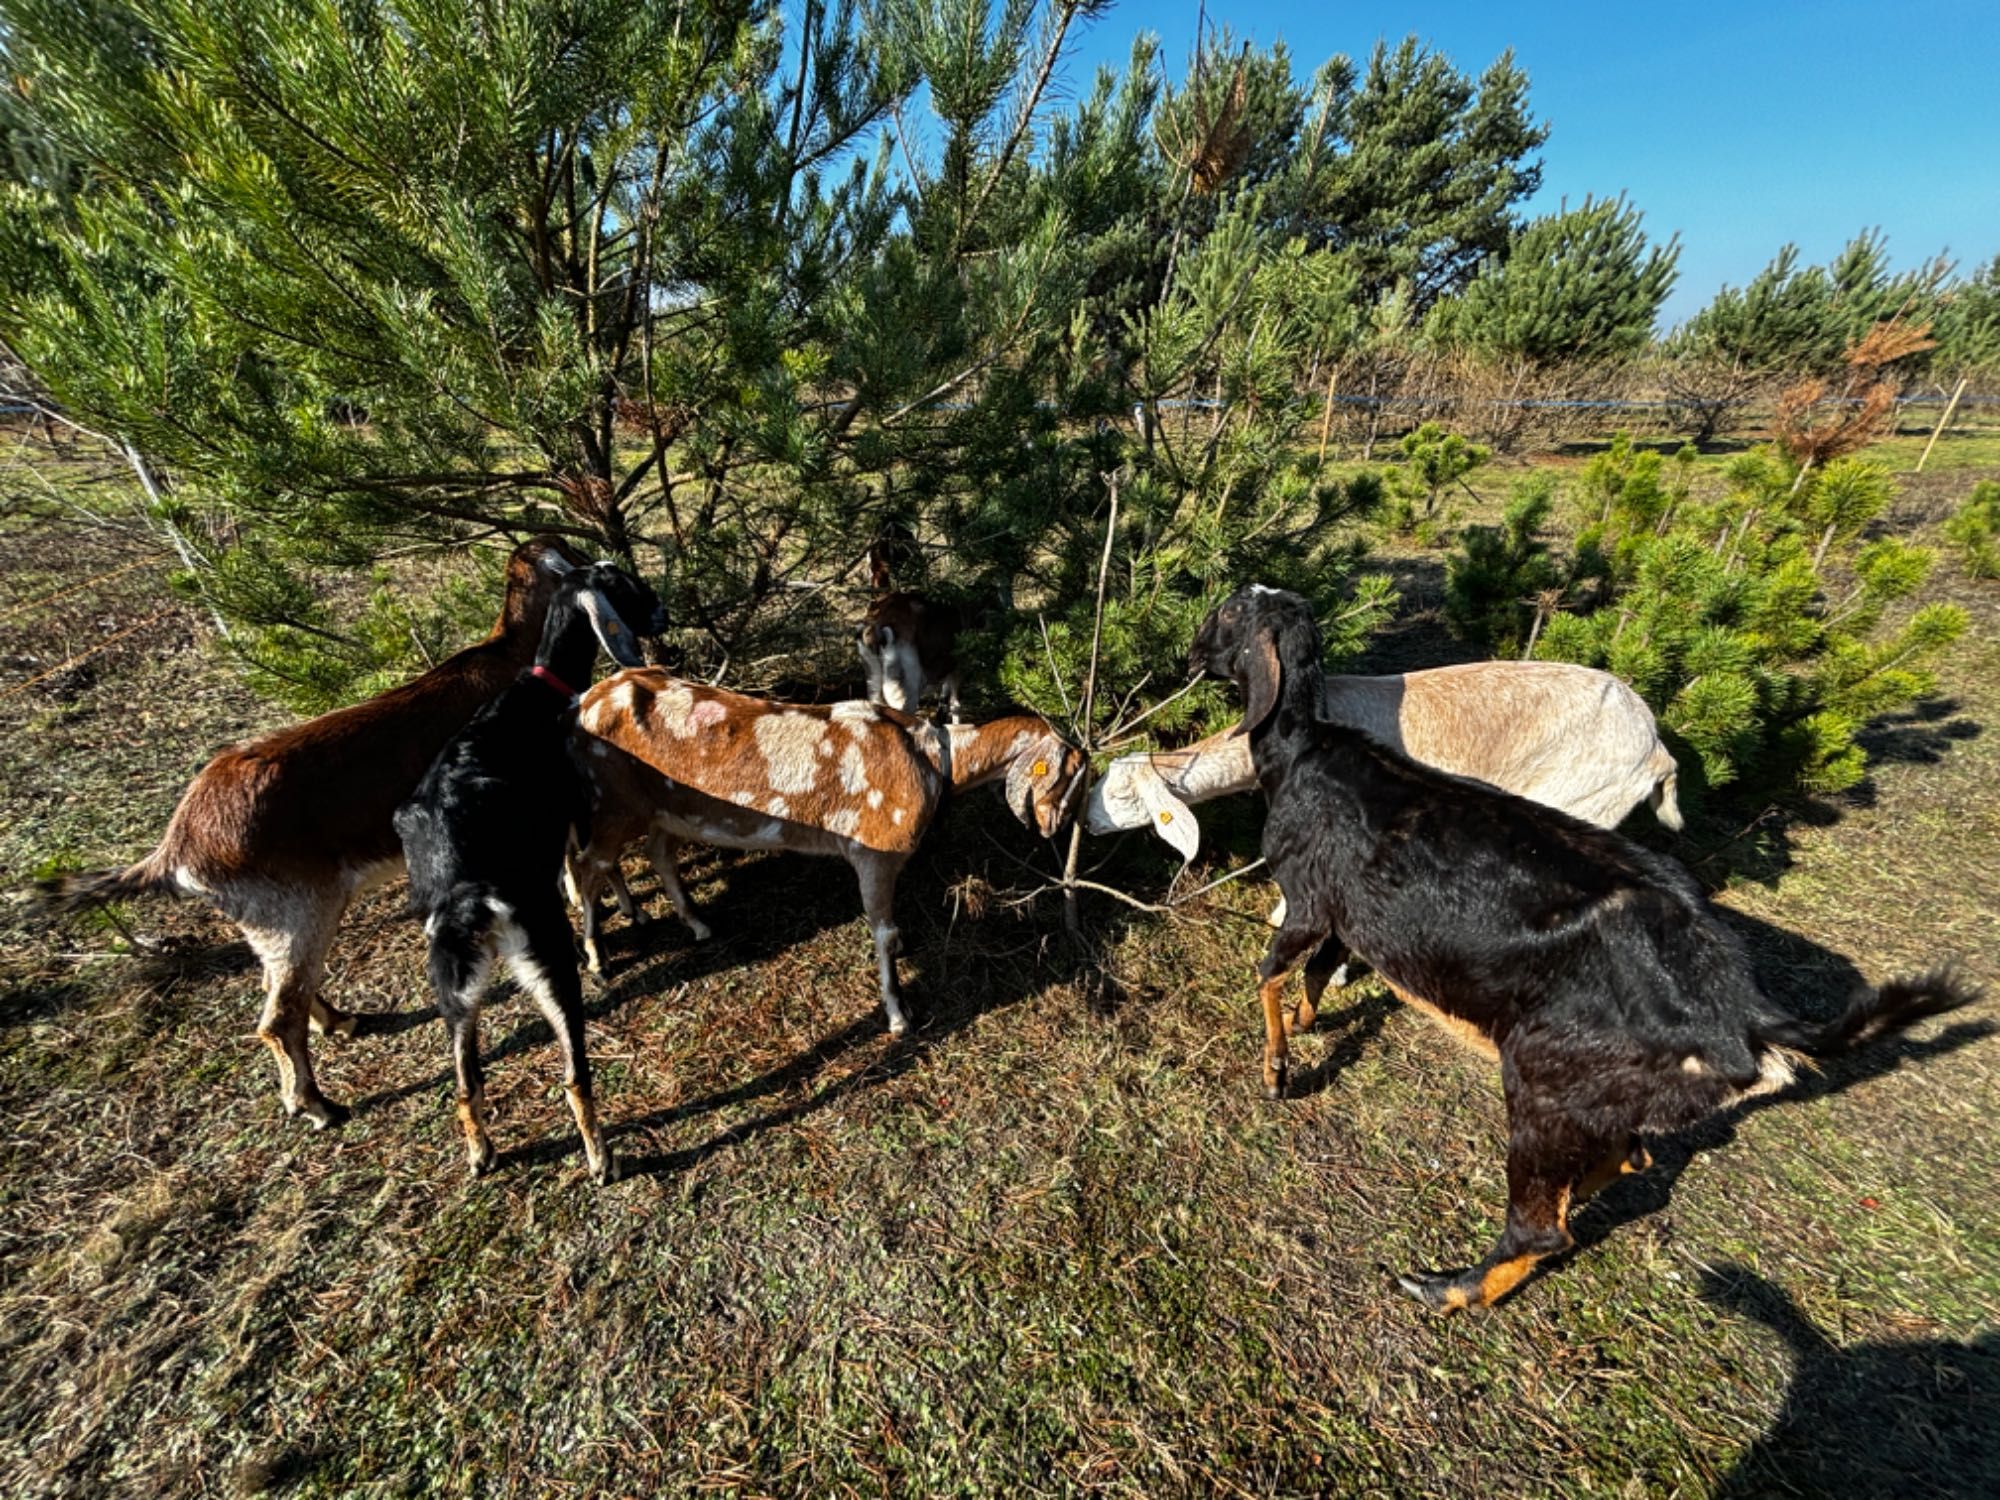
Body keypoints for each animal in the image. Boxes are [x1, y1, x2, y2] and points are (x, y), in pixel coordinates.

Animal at [41, 536, 584, 1128]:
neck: (509, 657)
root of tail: (176, 847)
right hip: (297, 908)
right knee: (278, 1013)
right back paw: (318, 1104)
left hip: (268, 922)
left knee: (278, 985)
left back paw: (339, 1023)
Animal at [394, 560, 668, 1184]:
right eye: (625, 587)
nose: (664, 612)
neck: (536, 693)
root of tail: (470, 899)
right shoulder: (577, 806)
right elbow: (596, 866)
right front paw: (618, 919)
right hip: (546, 958)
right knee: (573, 1073)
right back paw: (601, 1160)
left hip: (453, 988)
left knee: (466, 1083)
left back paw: (481, 1155)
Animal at [572, 680, 1088, 1032]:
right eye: (1067, 778)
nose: (1055, 828)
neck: (933, 757)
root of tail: (587, 700)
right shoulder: (875, 851)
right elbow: (883, 933)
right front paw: (898, 1015)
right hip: (612, 805)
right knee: (588, 867)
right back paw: (597, 957)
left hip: (666, 809)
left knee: (657, 853)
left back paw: (697, 924)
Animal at [1184, 588, 1984, 1312]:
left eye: (1227, 614)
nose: (1190, 655)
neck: (1306, 752)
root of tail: (1741, 1009)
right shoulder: (1348, 912)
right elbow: (1319, 972)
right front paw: (1310, 1023)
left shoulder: (1308, 898)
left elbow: (1271, 971)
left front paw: (1277, 1068)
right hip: (1601, 1095)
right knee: (1627, 1160)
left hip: (1550, 1083)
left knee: (1543, 1227)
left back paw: (1447, 1289)